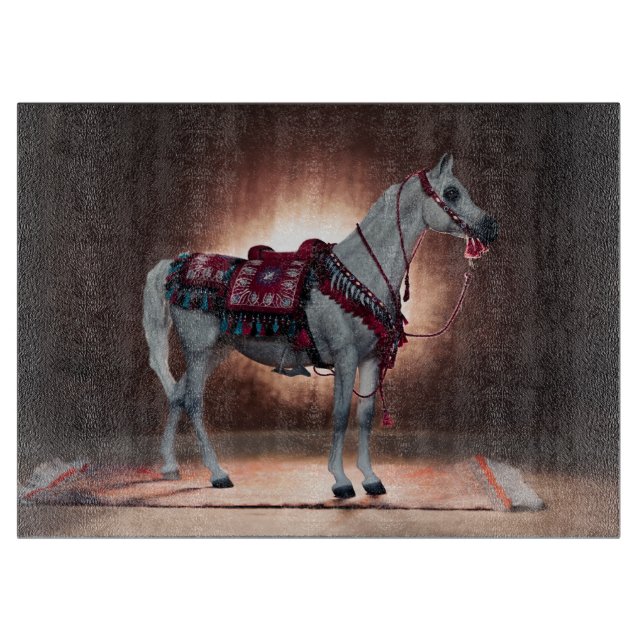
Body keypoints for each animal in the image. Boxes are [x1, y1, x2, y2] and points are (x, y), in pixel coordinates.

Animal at [143, 153, 498, 498]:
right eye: (451, 192)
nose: (490, 227)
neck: (357, 275)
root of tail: (175, 265)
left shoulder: (370, 359)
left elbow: (365, 416)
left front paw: (371, 478)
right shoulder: (345, 357)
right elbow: (340, 417)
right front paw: (341, 481)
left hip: (216, 351)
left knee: (178, 395)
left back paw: (171, 467)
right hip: (199, 350)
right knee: (192, 402)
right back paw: (217, 473)